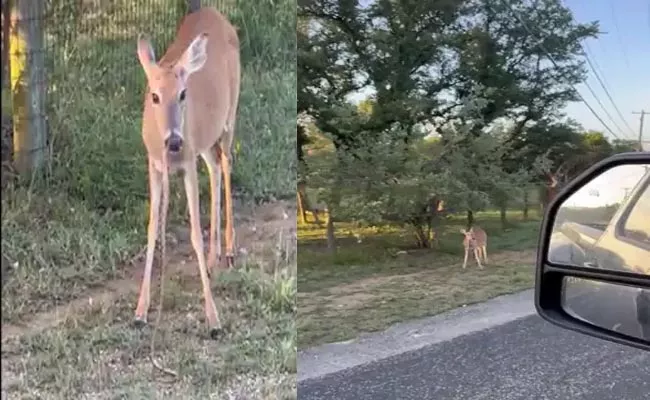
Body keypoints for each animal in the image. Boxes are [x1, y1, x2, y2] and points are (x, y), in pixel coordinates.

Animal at [133, 6, 239, 338]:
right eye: (154, 95)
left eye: (182, 94)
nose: (175, 141)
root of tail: (214, 12)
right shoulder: (154, 164)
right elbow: (152, 228)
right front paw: (140, 312)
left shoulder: (188, 163)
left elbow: (194, 234)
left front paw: (214, 319)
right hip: (205, 140)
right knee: (215, 166)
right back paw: (213, 259)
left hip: (230, 115)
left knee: (226, 162)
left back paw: (229, 250)